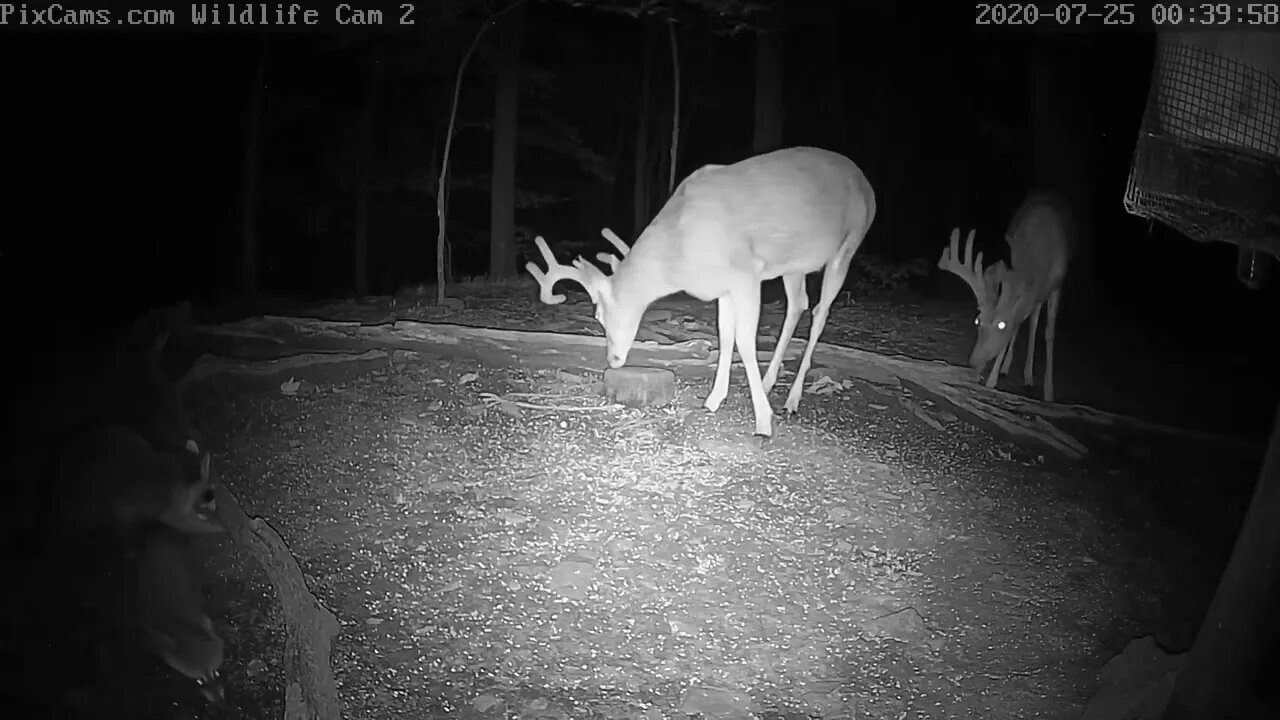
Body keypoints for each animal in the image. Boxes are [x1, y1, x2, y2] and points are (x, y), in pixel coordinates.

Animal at [526, 146, 876, 438]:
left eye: (598, 314)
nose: (612, 360)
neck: (680, 250)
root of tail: (866, 183)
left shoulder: (746, 274)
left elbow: (745, 341)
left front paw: (763, 421)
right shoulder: (724, 285)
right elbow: (725, 335)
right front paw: (714, 399)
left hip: (849, 244)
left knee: (821, 311)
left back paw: (791, 399)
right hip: (793, 264)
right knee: (798, 304)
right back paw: (768, 383)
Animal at [937, 189, 1075, 402]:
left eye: (1001, 324)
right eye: (977, 320)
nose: (973, 362)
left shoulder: (1057, 284)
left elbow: (1049, 334)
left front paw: (1049, 392)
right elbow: (1017, 326)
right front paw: (992, 380)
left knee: (1034, 318)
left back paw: (1028, 377)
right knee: (1030, 318)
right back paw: (1013, 370)